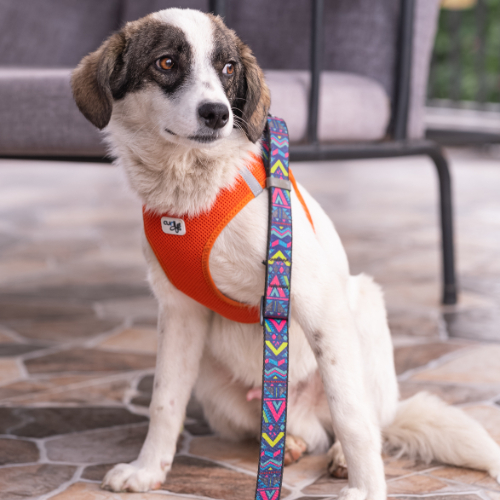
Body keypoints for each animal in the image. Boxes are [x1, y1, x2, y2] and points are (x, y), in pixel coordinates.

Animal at [72, 7, 500, 500]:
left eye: (228, 68)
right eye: (165, 62)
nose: (217, 113)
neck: (196, 193)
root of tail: (298, 409)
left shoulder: (319, 304)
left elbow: (352, 418)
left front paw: (366, 489)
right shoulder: (179, 313)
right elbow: (165, 400)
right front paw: (148, 470)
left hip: (365, 311)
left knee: (364, 420)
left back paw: (340, 456)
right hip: (217, 389)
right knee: (297, 431)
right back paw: (289, 442)